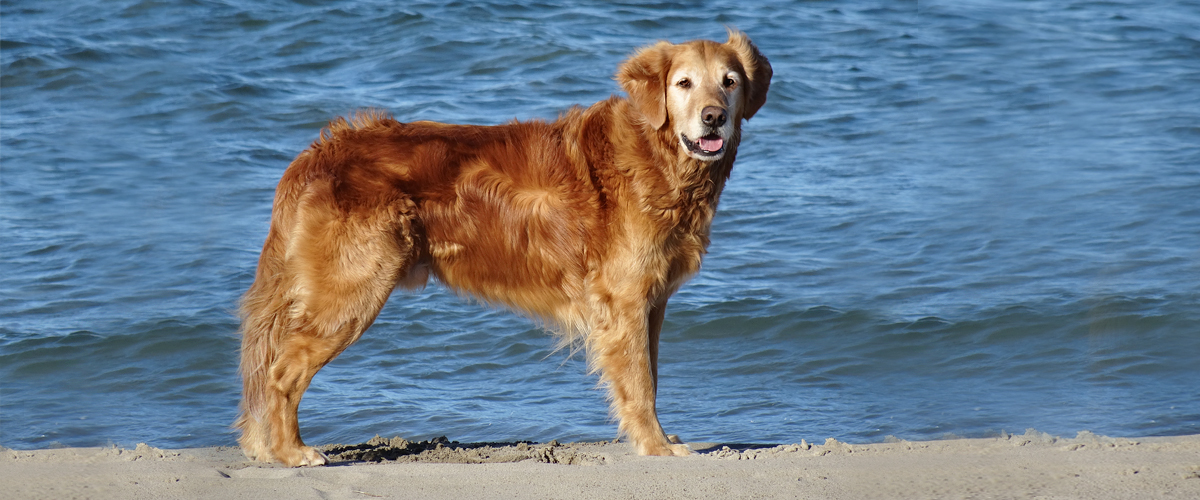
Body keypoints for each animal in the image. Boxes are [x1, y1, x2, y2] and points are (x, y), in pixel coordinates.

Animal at [237, 29, 772, 465]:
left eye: (729, 81)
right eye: (683, 84)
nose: (713, 118)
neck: (659, 158)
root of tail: (316, 153)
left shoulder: (651, 303)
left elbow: (651, 378)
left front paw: (657, 439)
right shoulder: (625, 301)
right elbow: (640, 384)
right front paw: (658, 446)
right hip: (354, 290)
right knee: (281, 372)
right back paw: (291, 452)